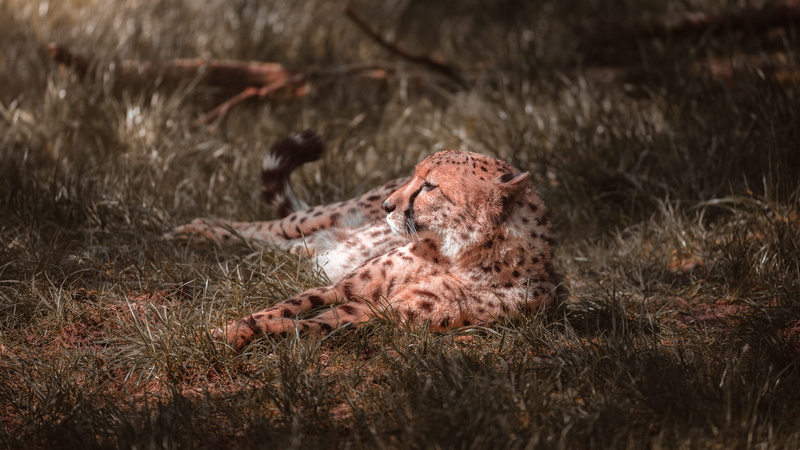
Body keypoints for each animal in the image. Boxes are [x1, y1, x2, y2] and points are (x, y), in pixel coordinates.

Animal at [169, 132, 559, 350]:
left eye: (429, 186)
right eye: (414, 177)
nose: (389, 205)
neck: (456, 255)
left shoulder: (377, 313)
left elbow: (307, 323)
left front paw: (237, 334)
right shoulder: (344, 287)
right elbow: (285, 306)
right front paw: (228, 329)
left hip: (311, 245)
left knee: (270, 246)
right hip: (328, 216)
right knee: (267, 227)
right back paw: (194, 230)